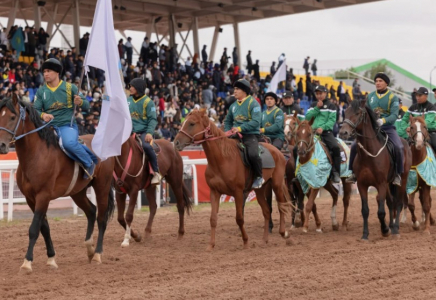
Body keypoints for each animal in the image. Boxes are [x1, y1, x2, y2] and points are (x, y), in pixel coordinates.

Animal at [0, 95, 115, 274]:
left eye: (12, 117)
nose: (2, 145)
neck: (36, 155)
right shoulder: (30, 199)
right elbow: (44, 228)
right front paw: (51, 259)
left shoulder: (43, 196)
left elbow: (34, 228)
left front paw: (27, 262)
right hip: (77, 192)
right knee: (91, 211)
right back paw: (89, 248)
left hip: (102, 185)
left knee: (101, 218)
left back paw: (97, 254)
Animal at [172, 109, 292, 250]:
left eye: (191, 123)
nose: (176, 142)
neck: (223, 159)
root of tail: (278, 152)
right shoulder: (215, 192)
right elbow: (213, 219)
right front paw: (211, 245)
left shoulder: (238, 192)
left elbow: (239, 218)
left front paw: (245, 241)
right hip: (260, 190)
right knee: (267, 211)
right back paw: (264, 240)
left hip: (277, 185)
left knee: (282, 206)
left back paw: (283, 233)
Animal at [338, 99, 412, 240]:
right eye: (346, 112)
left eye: (357, 113)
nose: (343, 132)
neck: (369, 153)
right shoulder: (362, 185)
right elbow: (365, 210)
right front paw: (365, 234)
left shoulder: (381, 184)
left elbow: (381, 211)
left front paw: (385, 230)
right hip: (388, 184)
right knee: (391, 202)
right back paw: (391, 225)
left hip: (402, 180)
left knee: (398, 203)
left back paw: (395, 229)